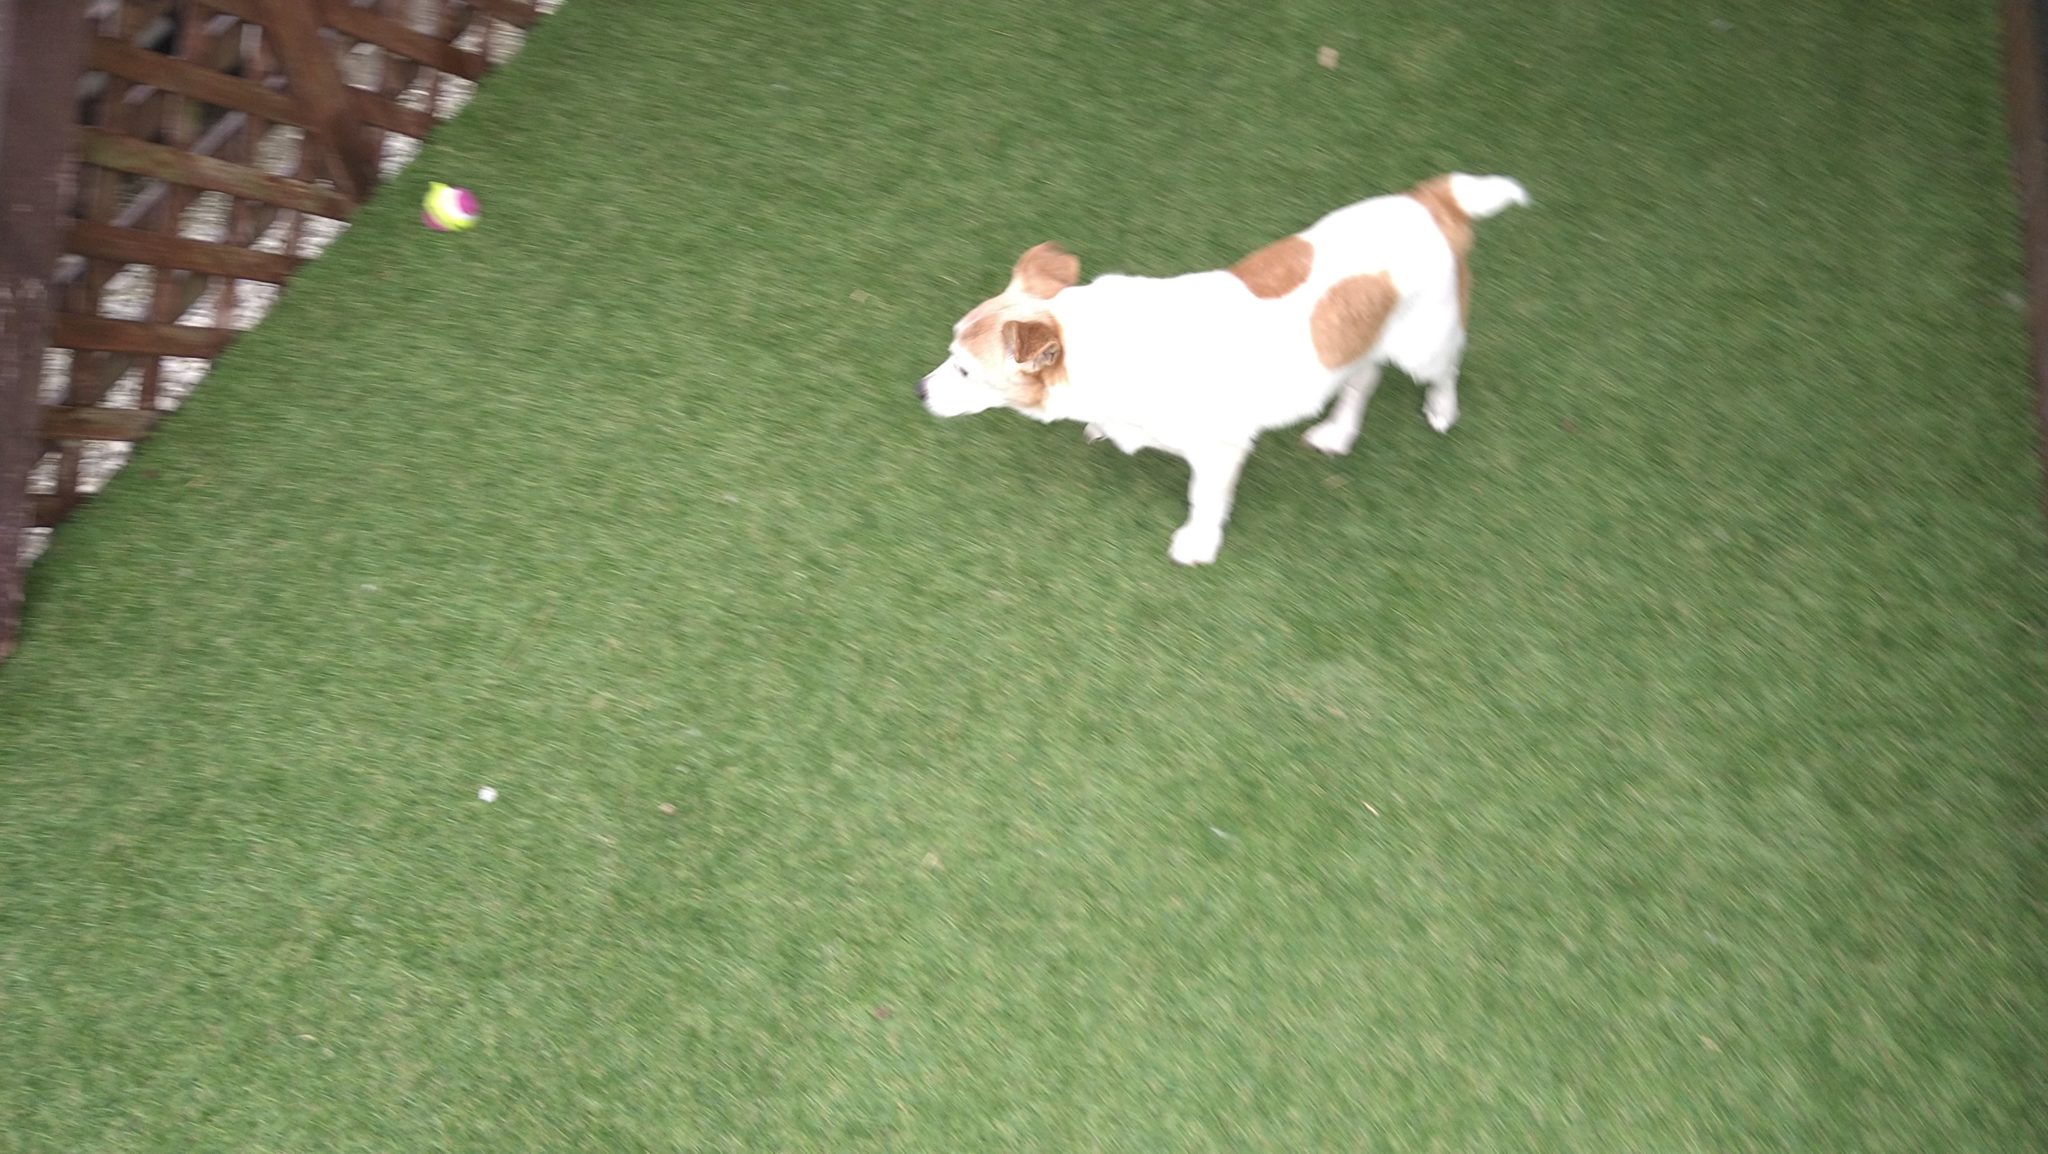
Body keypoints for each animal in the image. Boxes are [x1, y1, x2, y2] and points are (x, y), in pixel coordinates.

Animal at [917, 173, 1529, 565]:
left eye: (965, 371)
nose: (919, 390)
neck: (1102, 344)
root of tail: (1433, 201)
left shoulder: (1219, 451)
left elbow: (1204, 499)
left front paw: (1198, 542)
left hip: (1426, 344)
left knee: (1446, 369)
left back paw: (1441, 410)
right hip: (1359, 341)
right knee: (1361, 380)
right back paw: (1337, 432)